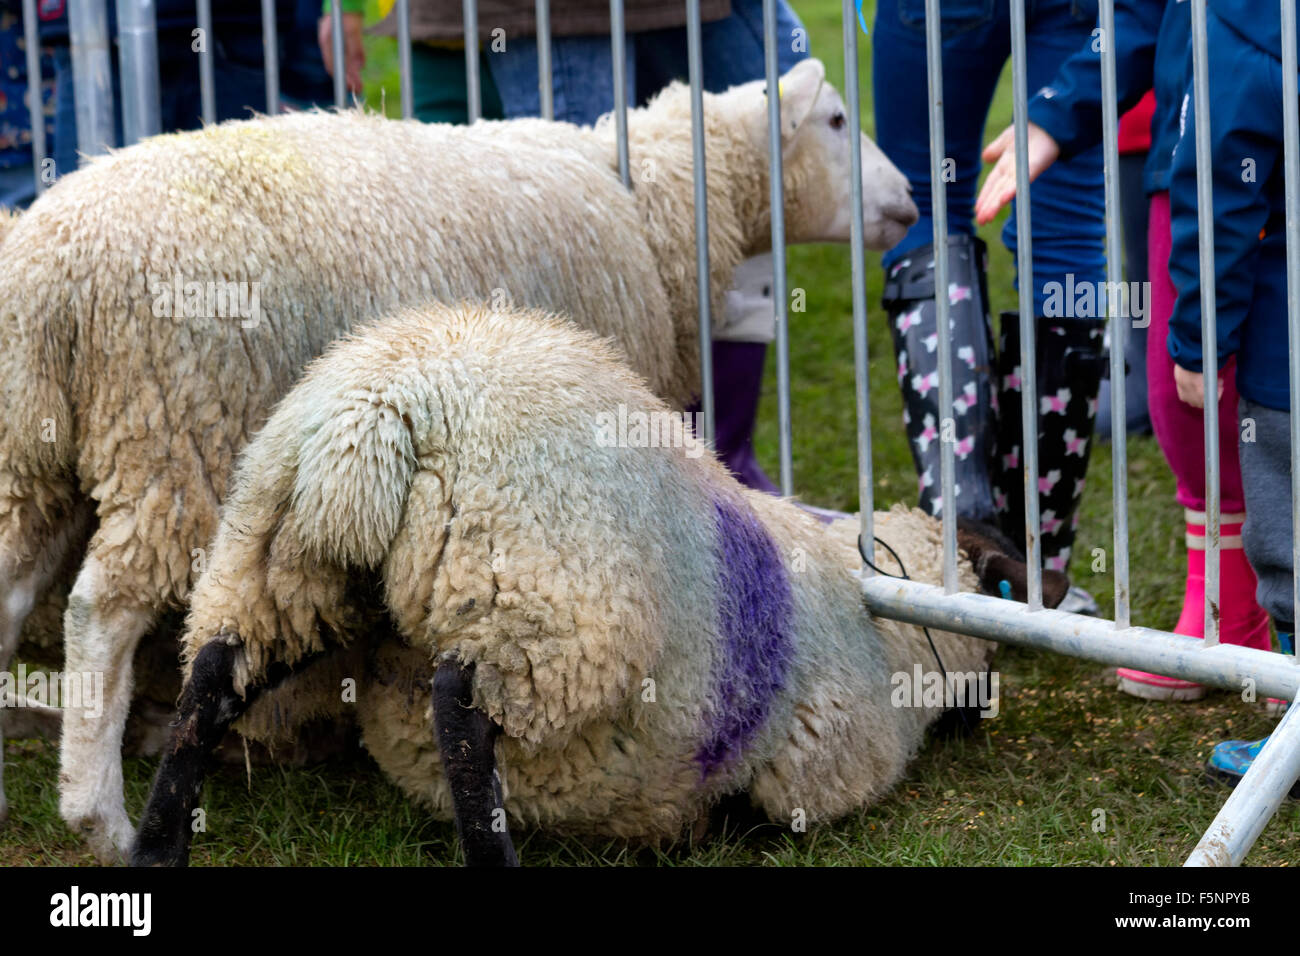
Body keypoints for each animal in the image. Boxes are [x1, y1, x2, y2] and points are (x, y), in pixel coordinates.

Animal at [0, 55, 920, 858]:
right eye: (838, 121)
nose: (911, 203)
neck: (651, 197)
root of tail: (53, 269)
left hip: (39, 446)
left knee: (14, 591)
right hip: (173, 429)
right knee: (99, 609)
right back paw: (99, 815)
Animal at [131, 304, 1066, 868]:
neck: (885, 614)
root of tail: (379, 410)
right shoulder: (817, 775)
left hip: (275, 560)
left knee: (213, 678)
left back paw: (156, 847)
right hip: (534, 592)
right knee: (459, 705)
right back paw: (494, 856)